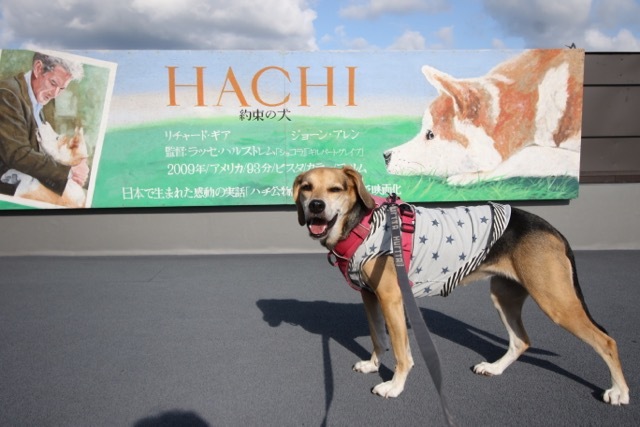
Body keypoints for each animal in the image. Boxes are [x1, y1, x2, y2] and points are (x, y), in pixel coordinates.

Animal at [294, 166, 632, 406]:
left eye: (336, 188)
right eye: (307, 187)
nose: (316, 206)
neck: (361, 224)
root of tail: (552, 229)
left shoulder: (391, 299)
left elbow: (402, 353)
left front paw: (394, 386)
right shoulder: (370, 297)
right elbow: (379, 337)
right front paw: (374, 364)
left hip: (556, 301)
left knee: (606, 342)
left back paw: (619, 392)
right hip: (504, 296)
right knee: (521, 341)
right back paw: (494, 369)